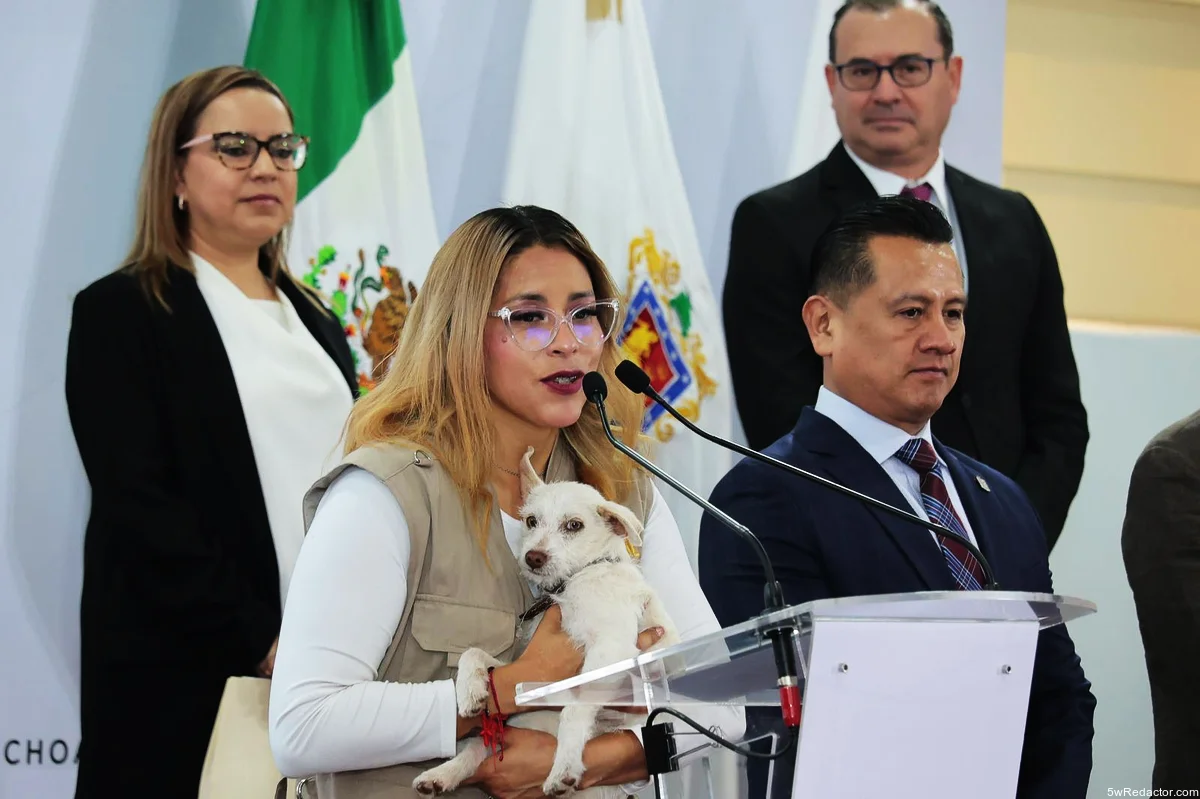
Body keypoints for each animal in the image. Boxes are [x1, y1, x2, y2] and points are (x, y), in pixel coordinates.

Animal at [410, 448, 676, 791]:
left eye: (574, 525)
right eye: (531, 521)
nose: (533, 557)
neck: (573, 581)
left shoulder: (612, 649)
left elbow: (574, 709)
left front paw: (564, 768)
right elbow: (474, 653)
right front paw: (469, 689)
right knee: (477, 748)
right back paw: (441, 774)